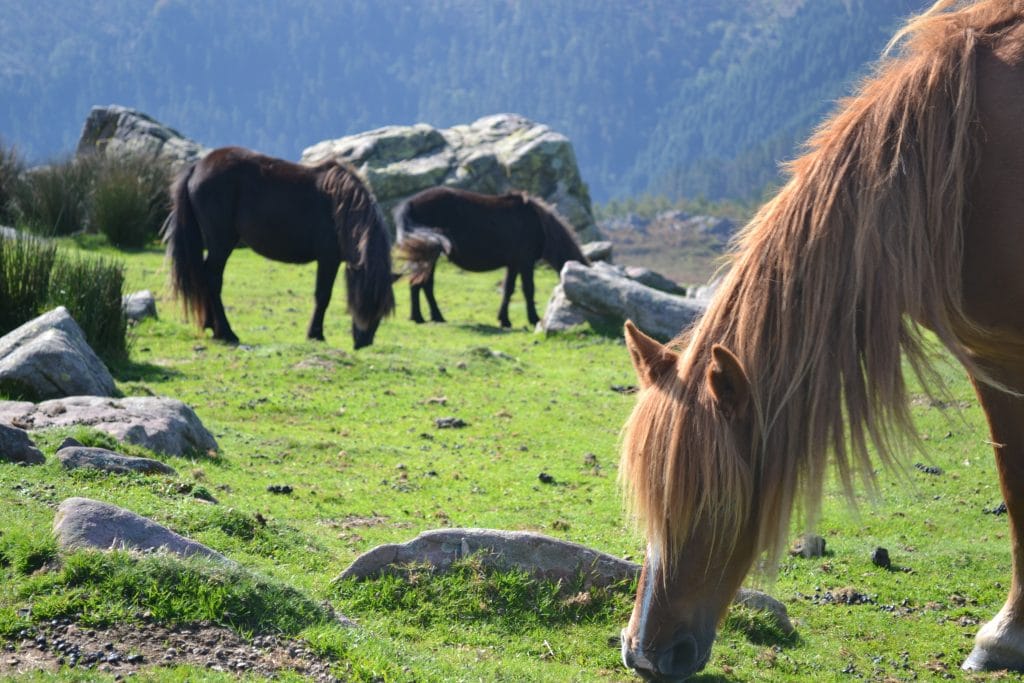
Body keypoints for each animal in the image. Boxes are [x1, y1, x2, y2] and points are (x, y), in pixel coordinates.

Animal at [161, 145, 393, 348]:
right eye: (369, 300)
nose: (364, 342)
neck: (341, 206)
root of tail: (197, 167)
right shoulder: (328, 259)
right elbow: (322, 296)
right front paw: (315, 335)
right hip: (221, 242)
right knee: (212, 278)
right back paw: (226, 332)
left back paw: (211, 325)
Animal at [391, 185, 589, 327]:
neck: (539, 224)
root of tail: (410, 204)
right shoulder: (525, 263)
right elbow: (528, 289)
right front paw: (533, 319)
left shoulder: (513, 264)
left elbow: (508, 289)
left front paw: (504, 319)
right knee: (422, 284)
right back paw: (423, 317)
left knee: (421, 284)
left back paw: (428, 317)